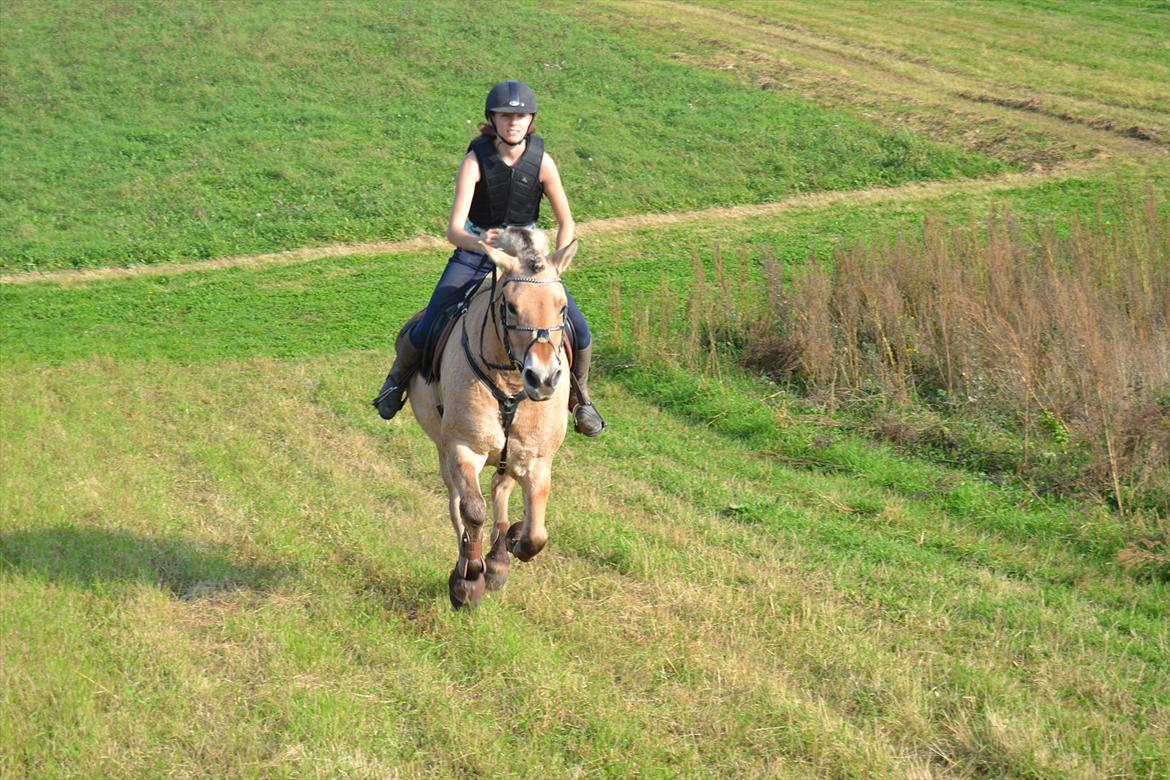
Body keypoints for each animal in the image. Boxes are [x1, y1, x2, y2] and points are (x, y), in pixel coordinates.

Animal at [407, 225, 580, 608]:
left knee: (501, 489)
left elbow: (536, 534)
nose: (543, 378)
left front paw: (511, 545)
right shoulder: (463, 448)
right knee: (457, 502)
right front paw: (468, 578)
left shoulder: (535, 458)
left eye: (562, 307)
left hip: (507, 456)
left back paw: (500, 555)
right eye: (511, 307)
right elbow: (472, 510)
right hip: (446, 451)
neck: (510, 383)